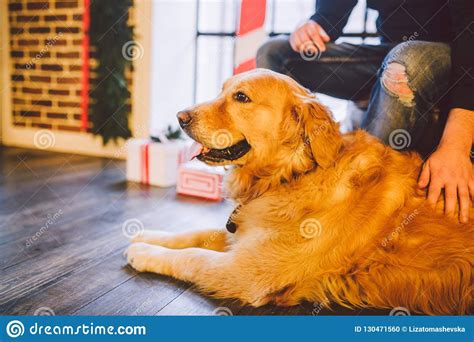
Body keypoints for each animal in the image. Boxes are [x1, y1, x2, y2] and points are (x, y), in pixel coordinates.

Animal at [126, 68, 474, 314]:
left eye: (241, 97)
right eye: (222, 90)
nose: (180, 117)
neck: (290, 175)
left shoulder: (244, 272)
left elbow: (192, 256)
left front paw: (144, 252)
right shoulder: (244, 236)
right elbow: (195, 234)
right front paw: (148, 235)